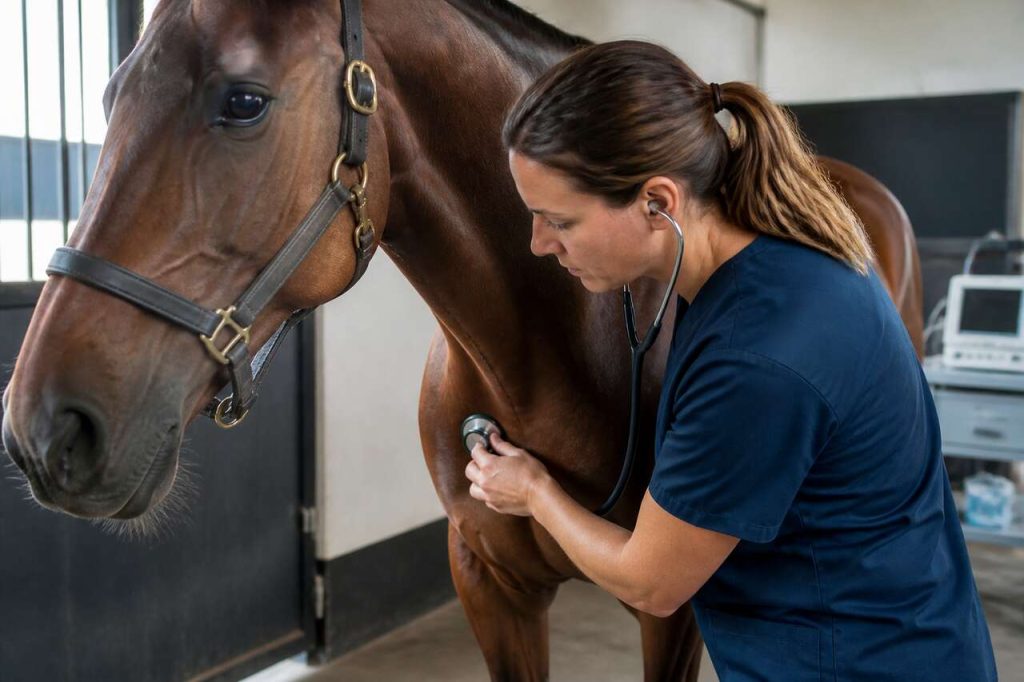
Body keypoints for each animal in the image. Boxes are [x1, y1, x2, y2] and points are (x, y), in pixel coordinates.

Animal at [0, 1, 923, 680]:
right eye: (110, 98)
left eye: (244, 101)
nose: (46, 429)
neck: (557, 351)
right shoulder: (490, 586)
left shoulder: (676, 611)